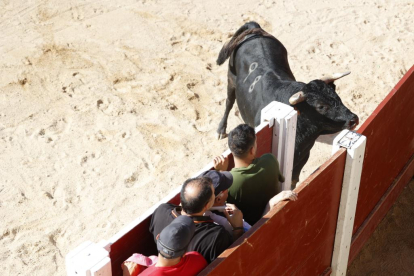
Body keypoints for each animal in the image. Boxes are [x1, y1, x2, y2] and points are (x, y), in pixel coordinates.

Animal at [217, 21, 360, 185]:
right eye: (321, 106)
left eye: (337, 96)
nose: (353, 119)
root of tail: (254, 28)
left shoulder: (303, 157)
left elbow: (293, 180)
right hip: (231, 79)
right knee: (229, 102)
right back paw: (221, 129)